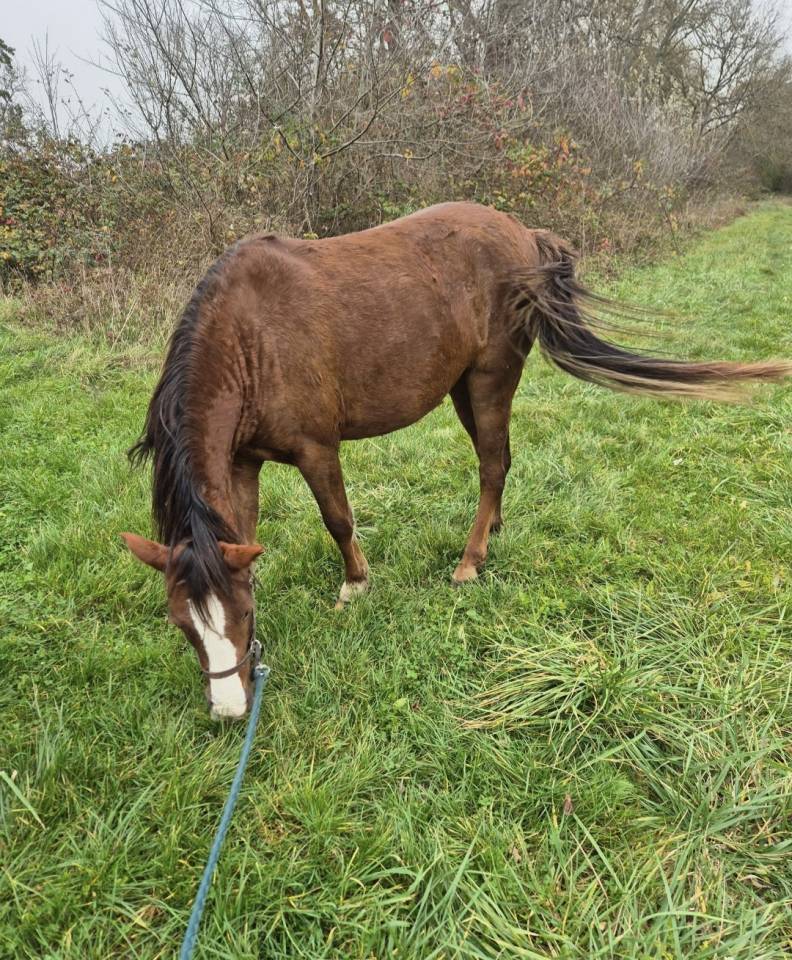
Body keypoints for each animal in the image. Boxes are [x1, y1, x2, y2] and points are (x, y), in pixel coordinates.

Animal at [121, 201, 791, 719]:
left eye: (244, 614)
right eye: (182, 624)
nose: (231, 710)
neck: (250, 340)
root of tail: (526, 235)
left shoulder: (317, 449)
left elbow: (338, 519)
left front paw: (356, 585)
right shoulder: (242, 464)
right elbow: (246, 530)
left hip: (492, 378)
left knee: (492, 466)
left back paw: (470, 561)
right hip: (465, 387)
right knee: (502, 463)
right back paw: (491, 532)